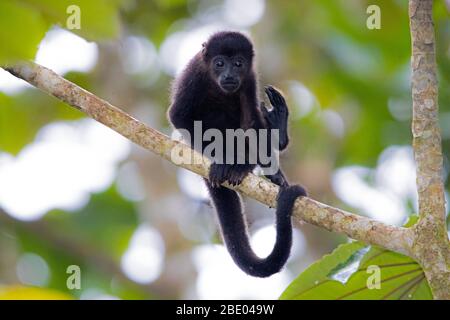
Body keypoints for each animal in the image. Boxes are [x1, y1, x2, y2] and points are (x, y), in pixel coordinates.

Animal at [168, 32, 306, 278]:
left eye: (238, 64)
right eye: (220, 63)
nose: (229, 75)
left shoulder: (249, 79)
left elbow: (250, 121)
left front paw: (275, 172)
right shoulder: (195, 75)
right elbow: (179, 115)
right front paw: (221, 159)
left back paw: (271, 138)